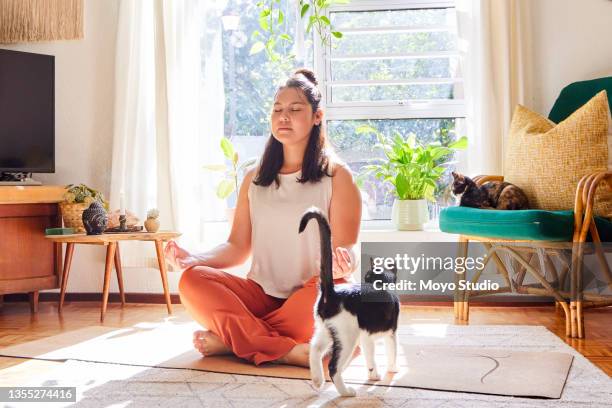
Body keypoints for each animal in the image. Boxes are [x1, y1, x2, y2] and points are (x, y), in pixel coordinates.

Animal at [298, 207, 402, 396]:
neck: (379, 283)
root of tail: (331, 293)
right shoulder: (392, 332)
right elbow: (392, 351)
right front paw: (392, 369)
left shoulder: (366, 336)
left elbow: (370, 356)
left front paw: (373, 374)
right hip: (347, 337)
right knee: (333, 367)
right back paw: (346, 391)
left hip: (326, 330)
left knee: (314, 349)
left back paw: (317, 380)